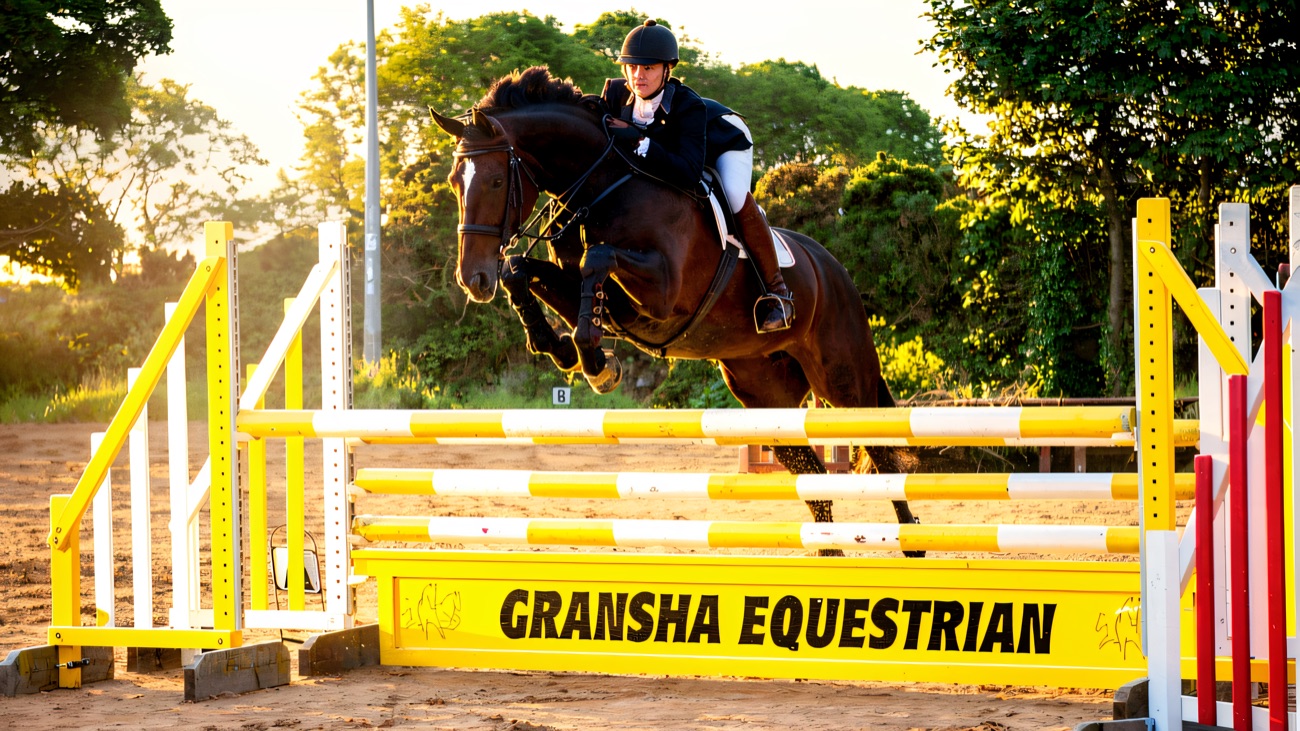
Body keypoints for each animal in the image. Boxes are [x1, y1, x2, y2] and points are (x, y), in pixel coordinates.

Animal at [429, 67, 918, 546]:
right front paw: (565, 349)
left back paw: (912, 542)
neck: (604, 187)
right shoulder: (599, 291)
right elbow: (523, 270)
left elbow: (596, 260)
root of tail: (834, 269)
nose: (473, 280)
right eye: (454, 182)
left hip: (843, 380)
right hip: (766, 397)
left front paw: (595, 362)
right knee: (816, 488)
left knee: (883, 460)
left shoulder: (663, 294)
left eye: (496, 180)